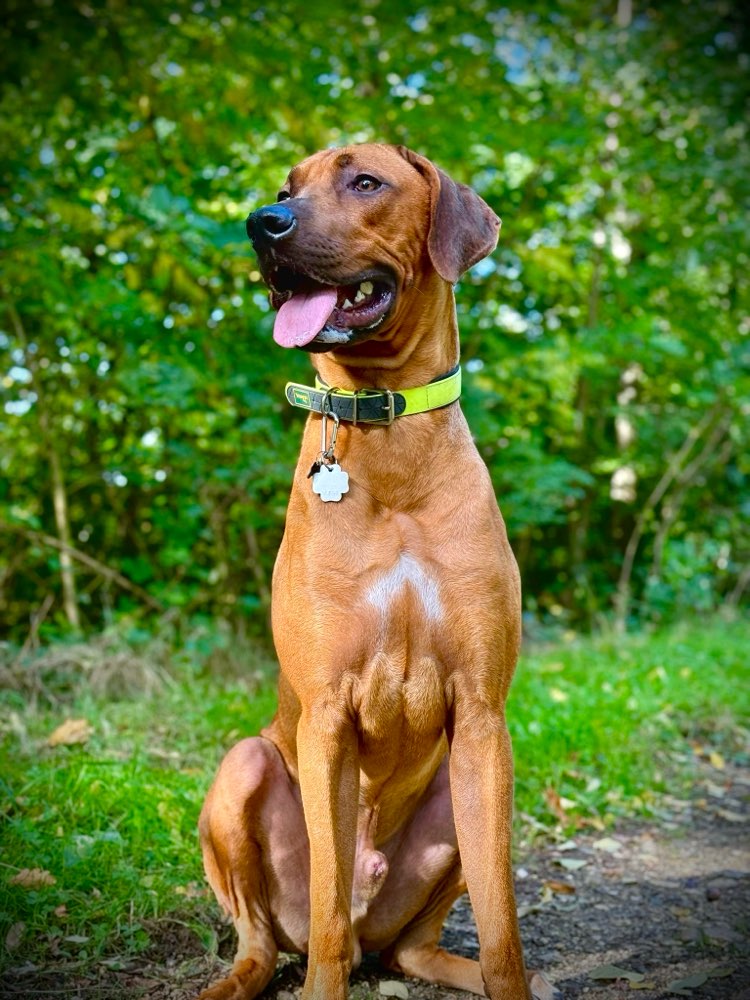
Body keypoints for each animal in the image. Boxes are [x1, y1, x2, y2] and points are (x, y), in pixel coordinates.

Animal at [197, 143, 560, 1000]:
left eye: (365, 181)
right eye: (288, 187)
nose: (262, 222)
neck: (385, 427)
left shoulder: (484, 718)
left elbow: (503, 926)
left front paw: (510, 976)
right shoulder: (327, 715)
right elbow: (327, 920)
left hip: (467, 796)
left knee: (413, 948)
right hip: (244, 768)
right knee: (267, 939)